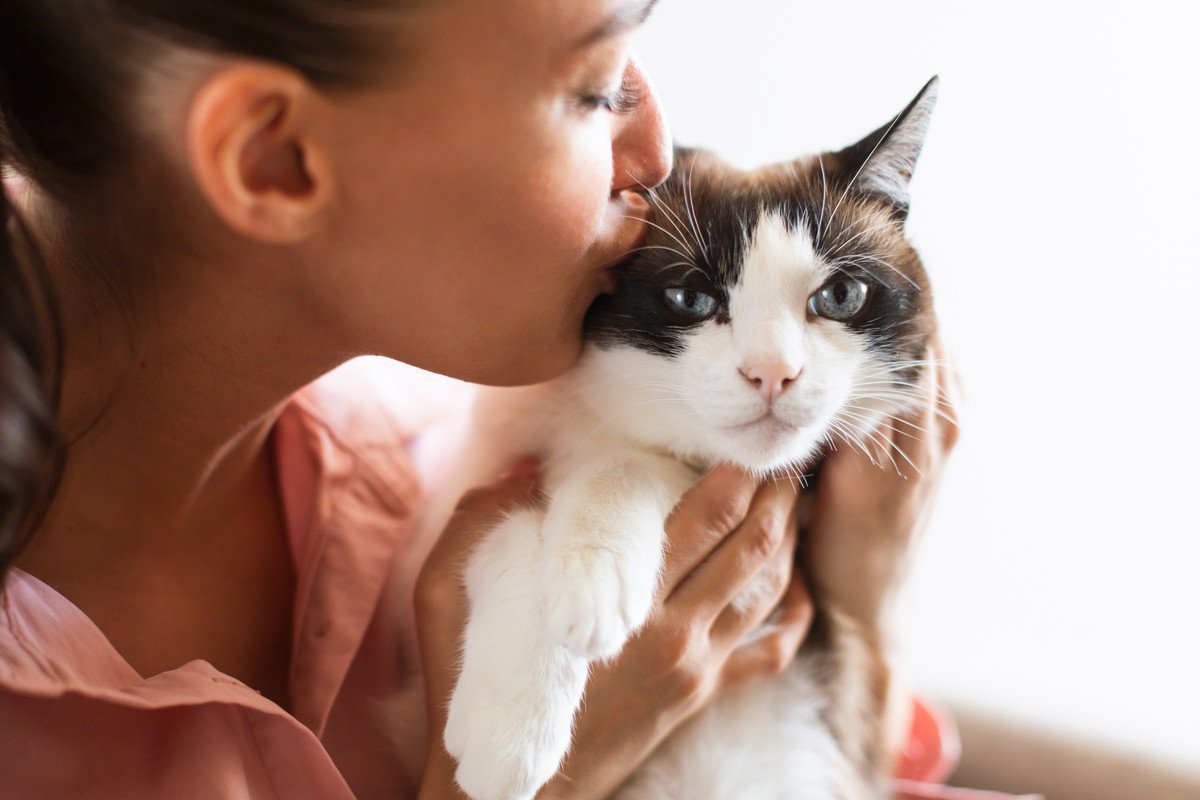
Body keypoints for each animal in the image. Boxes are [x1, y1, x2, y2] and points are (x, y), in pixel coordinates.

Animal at [436, 76, 940, 800]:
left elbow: (631, 469)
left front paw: (590, 582)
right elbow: (508, 519)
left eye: (841, 295)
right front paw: (510, 733)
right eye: (692, 300)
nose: (772, 373)